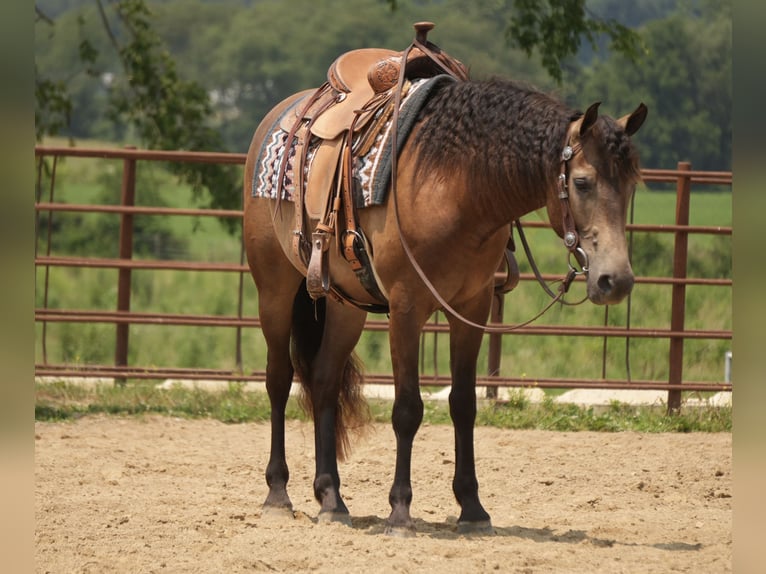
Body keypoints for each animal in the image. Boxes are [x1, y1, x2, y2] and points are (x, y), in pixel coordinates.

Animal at [242, 43, 647, 536]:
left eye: (630, 185)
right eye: (584, 182)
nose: (616, 280)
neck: (454, 184)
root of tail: (278, 116)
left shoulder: (471, 309)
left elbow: (463, 404)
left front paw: (472, 508)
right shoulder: (405, 308)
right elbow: (407, 409)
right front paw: (400, 510)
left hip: (344, 306)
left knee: (322, 381)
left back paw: (332, 498)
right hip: (274, 290)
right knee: (279, 380)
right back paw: (278, 493)